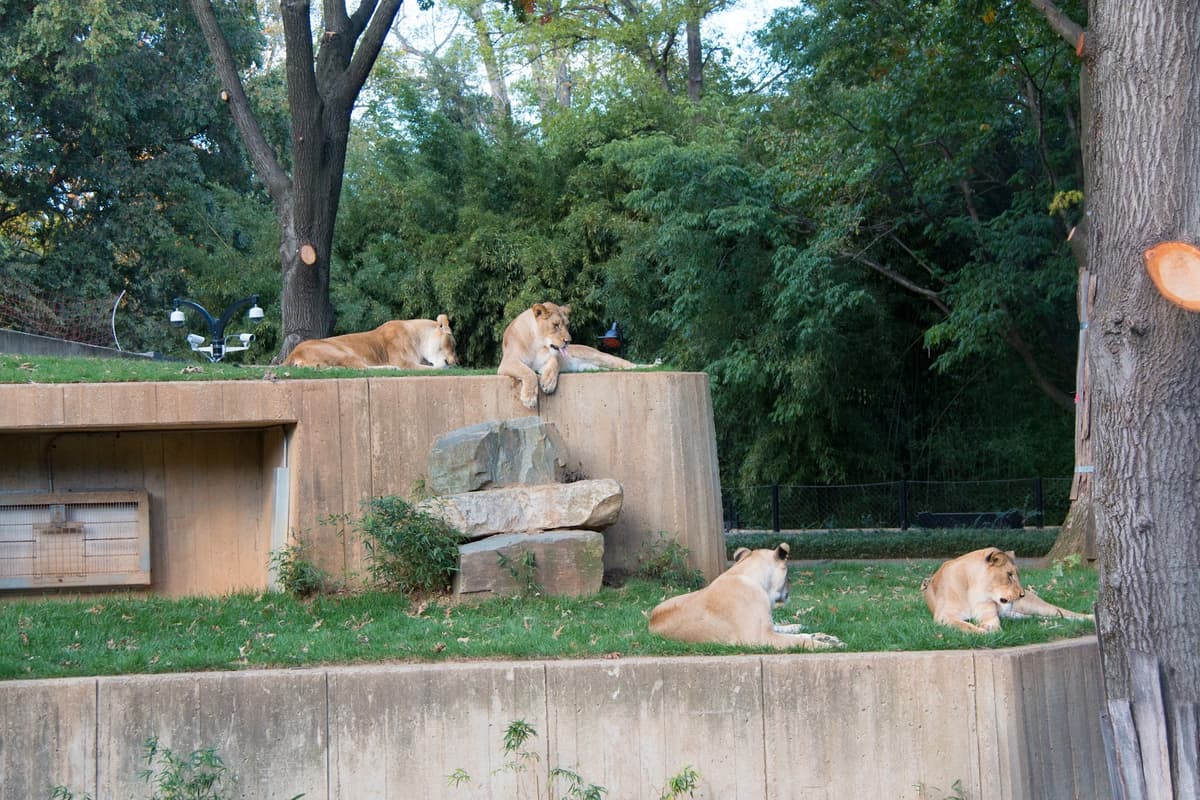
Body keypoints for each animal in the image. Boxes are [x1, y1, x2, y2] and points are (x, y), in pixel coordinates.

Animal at [283, 314, 458, 370]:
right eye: (453, 345)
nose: (456, 362)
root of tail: (292, 354)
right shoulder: (404, 363)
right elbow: (436, 368)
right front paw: (446, 367)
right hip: (343, 352)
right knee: (362, 368)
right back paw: (391, 368)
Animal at [498, 302, 651, 409]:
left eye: (567, 325)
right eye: (556, 325)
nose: (568, 341)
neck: (539, 344)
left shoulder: (547, 359)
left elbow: (554, 363)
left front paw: (548, 383)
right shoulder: (507, 362)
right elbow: (528, 372)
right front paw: (529, 398)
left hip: (602, 357)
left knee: (627, 363)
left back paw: (646, 366)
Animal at [648, 542, 844, 650]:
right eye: (788, 574)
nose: (790, 590)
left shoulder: (765, 630)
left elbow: (800, 637)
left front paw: (827, 639)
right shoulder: (759, 638)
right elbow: (800, 642)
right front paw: (830, 645)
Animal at [921, 547, 1094, 634]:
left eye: (1017, 575)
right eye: (1009, 575)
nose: (1022, 594)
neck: (974, 591)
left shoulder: (989, 615)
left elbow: (992, 626)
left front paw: (989, 630)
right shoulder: (944, 616)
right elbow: (965, 626)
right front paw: (982, 631)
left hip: (1033, 606)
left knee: (1062, 612)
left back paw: (1090, 618)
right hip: (1019, 615)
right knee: (1048, 617)